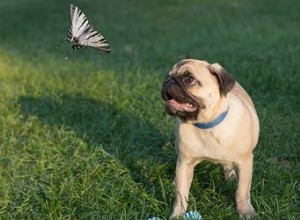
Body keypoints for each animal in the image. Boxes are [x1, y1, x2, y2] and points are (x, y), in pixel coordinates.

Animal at [161, 59, 258, 219]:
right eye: (167, 76)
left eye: (189, 79)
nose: (169, 81)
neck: (206, 125)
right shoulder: (185, 163)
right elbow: (181, 195)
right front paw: (178, 214)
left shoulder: (245, 162)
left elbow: (242, 191)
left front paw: (245, 211)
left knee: (228, 166)